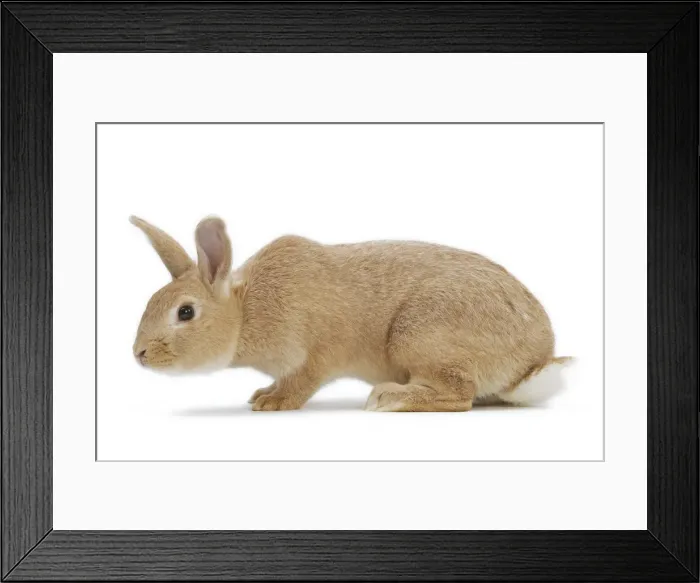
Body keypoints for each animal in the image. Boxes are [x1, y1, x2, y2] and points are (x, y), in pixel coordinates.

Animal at [130, 215, 571, 412]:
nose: (139, 354)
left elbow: (302, 383)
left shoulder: (315, 356)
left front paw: (272, 403)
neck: (244, 313)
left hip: (418, 336)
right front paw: (262, 394)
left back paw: (389, 398)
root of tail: (535, 360)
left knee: (461, 395)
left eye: (185, 312)